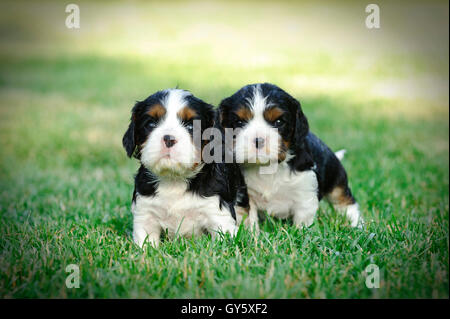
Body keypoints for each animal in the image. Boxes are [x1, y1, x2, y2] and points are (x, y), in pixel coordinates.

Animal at [122, 89, 246, 249]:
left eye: (191, 127)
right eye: (151, 124)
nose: (169, 138)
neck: (174, 179)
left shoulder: (218, 214)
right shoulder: (145, 213)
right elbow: (145, 244)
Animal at [220, 83, 364, 230]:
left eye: (278, 122)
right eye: (239, 122)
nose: (258, 140)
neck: (267, 168)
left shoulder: (305, 195)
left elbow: (302, 223)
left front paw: (301, 232)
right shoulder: (246, 196)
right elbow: (250, 219)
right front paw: (253, 234)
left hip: (336, 182)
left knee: (346, 204)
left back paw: (357, 225)